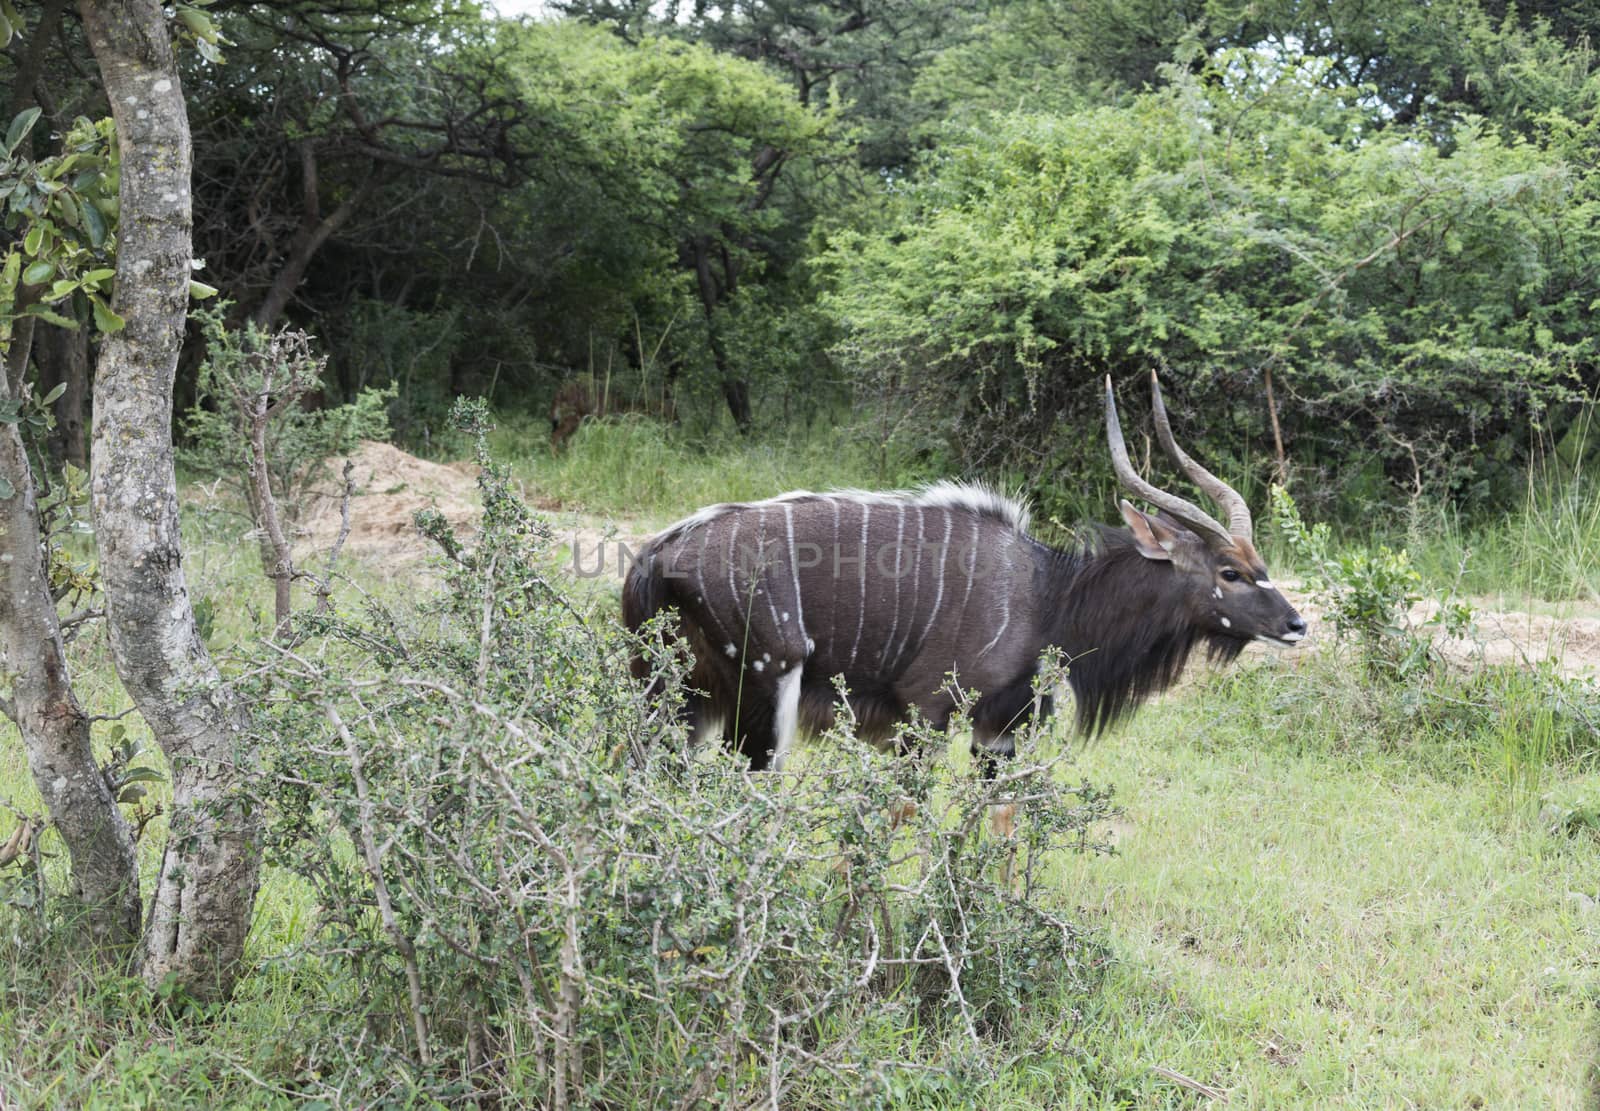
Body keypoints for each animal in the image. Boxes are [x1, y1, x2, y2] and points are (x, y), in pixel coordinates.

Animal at [617, 374, 1305, 774]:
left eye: (1260, 564)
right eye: (1230, 572)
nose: (1297, 625)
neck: (1046, 595)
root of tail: (658, 557)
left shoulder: (999, 731)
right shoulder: (923, 714)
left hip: (679, 696)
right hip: (763, 690)